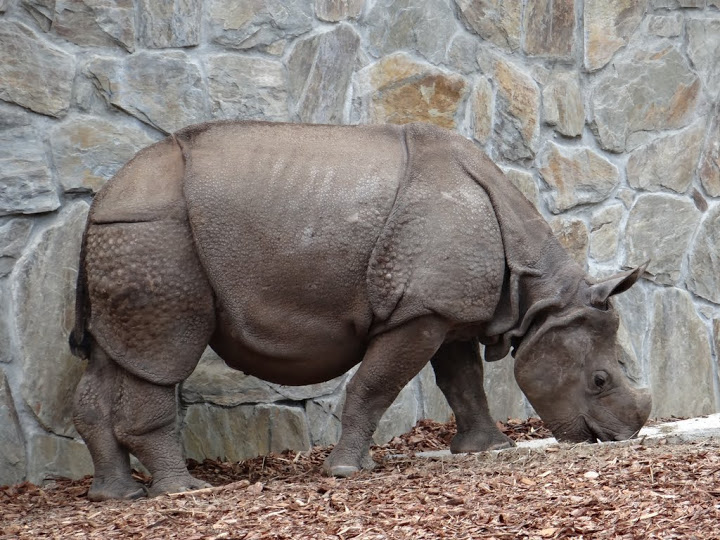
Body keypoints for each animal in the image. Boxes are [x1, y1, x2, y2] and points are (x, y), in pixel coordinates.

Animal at [70, 121, 651, 501]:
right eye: (600, 380)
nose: (618, 438)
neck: (542, 296)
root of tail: (102, 199)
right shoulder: (419, 312)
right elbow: (378, 385)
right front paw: (349, 471)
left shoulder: (445, 311)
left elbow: (464, 382)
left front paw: (487, 448)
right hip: (156, 234)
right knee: (165, 353)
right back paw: (185, 492)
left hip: (131, 234)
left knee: (113, 357)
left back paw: (115, 497)